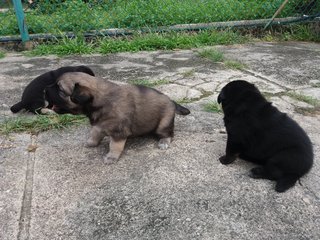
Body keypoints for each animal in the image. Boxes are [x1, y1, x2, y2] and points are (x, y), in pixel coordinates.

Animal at [56, 72, 190, 164]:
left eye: (61, 91)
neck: (102, 99)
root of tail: (172, 101)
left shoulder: (118, 132)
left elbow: (114, 146)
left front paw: (111, 157)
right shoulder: (99, 125)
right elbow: (94, 133)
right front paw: (91, 142)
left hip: (164, 124)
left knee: (169, 134)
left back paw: (163, 142)